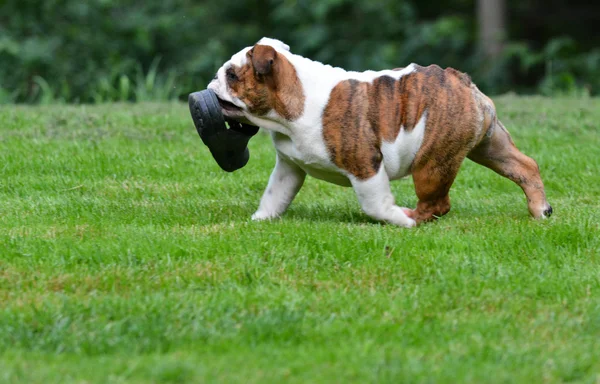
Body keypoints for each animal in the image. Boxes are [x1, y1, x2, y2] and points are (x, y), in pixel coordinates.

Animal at [207, 37, 552, 226]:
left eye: (232, 75)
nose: (211, 83)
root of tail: (460, 80)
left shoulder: (365, 166)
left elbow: (374, 204)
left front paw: (395, 217)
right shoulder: (290, 166)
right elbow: (274, 195)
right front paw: (260, 220)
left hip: (432, 165)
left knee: (437, 204)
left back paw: (411, 218)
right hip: (490, 146)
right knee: (525, 166)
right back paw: (540, 209)